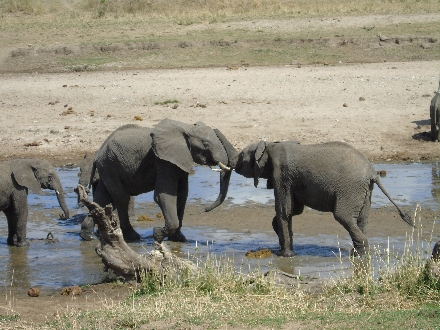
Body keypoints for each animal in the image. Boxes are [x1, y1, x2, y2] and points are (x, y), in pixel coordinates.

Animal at [83, 118, 239, 242]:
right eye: (206, 144)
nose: (205, 209)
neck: (187, 127)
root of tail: (98, 153)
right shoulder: (164, 161)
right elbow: (164, 195)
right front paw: (157, 234)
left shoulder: (179, 160)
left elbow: (182, 195)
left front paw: (179, 239)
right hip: (110, 164)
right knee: (121, 197)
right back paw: (132, 237)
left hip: (107, 166)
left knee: (102, 197)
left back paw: (87, 235)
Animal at [235, 141, 414, 256]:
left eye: (241, 155)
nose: (234, 166)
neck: (269, 144)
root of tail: (372, 172)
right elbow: (295, 210)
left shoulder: (281, 175)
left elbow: (284, 210)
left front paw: (285, 255)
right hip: (364, 192)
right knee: (362, 219)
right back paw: (358, 253)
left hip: (350, 189)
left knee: (343, 216)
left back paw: (360, 255)